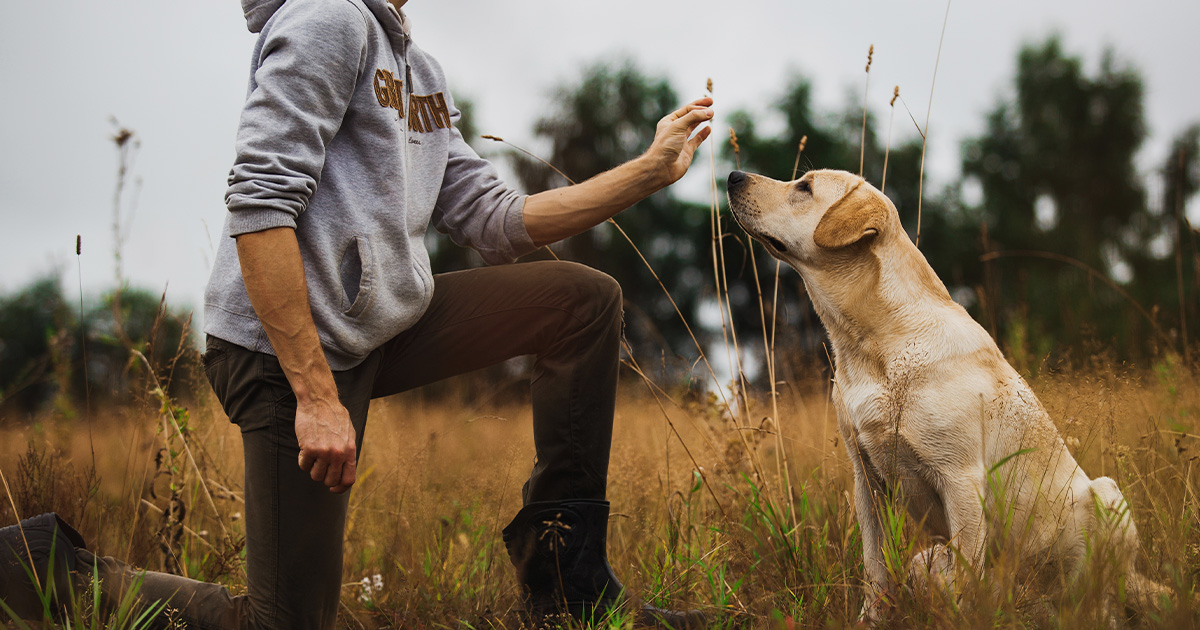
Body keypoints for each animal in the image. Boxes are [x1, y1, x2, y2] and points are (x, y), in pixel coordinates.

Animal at [720, 166, 1161, 619]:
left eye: (804, 188)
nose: (733, 176)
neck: (874, 346)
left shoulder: (960, 478)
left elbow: (966, 579)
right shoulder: (867, 481)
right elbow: (874, 568)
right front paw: (871, 620)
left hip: (1107, 497)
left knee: (1099, 602)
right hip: (928, 558)